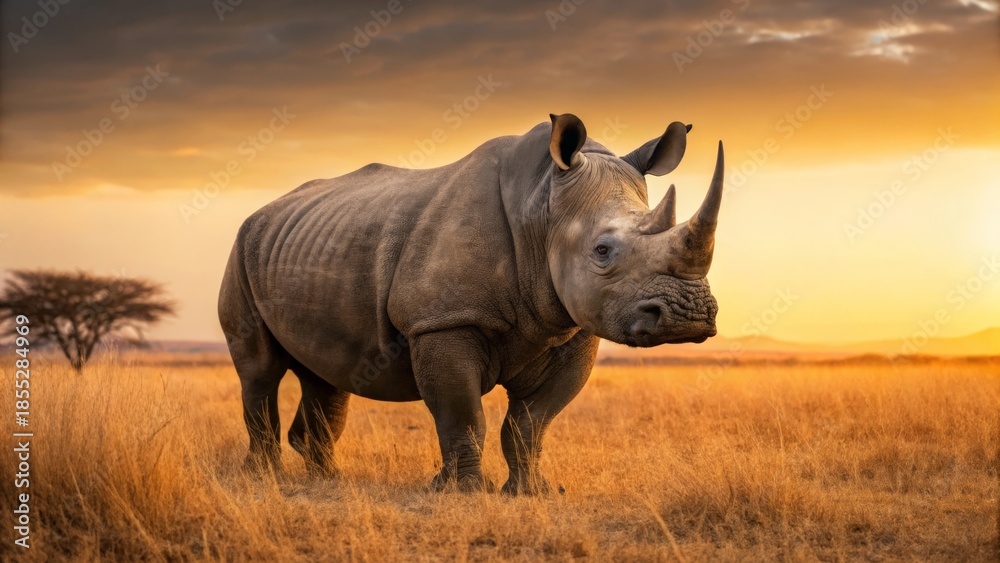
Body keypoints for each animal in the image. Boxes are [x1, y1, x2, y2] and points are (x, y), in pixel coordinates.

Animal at [219, 113, 725, 493]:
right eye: (602, 251)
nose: (690, 315)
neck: (542, 207)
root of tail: (264, 210)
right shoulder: (443, 321)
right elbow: (463, 415)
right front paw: (462, 492)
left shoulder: (573, 328)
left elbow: (531, 422)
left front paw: (531, 493)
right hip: (242, 248)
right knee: (260, 371)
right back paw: (264, 479)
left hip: (310, 243)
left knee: (328, 373)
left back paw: (328, 480)